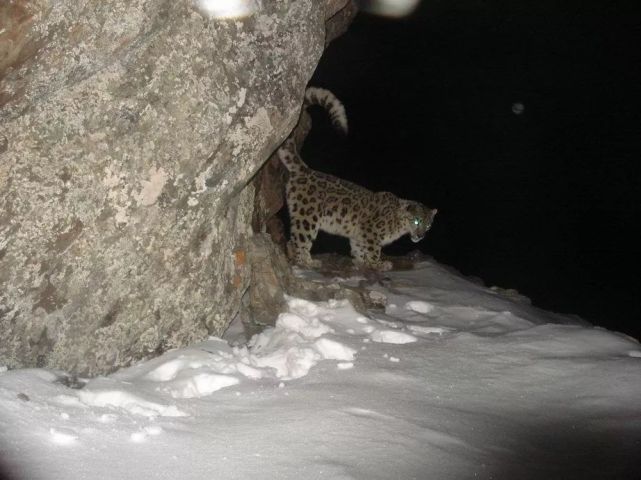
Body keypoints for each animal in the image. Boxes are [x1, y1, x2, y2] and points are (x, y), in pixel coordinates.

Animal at [278, 88, 438, 272]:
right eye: (416, 220)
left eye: (429, 225)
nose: (420, 236)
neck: (398, 226)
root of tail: (305, 169)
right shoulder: (371, 231)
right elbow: (373, 249)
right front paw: (379, 264)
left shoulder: (358, 235)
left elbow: (359, 248)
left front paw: (362, 262)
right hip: (307, 217)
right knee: (299, 240)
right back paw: (307, 262)